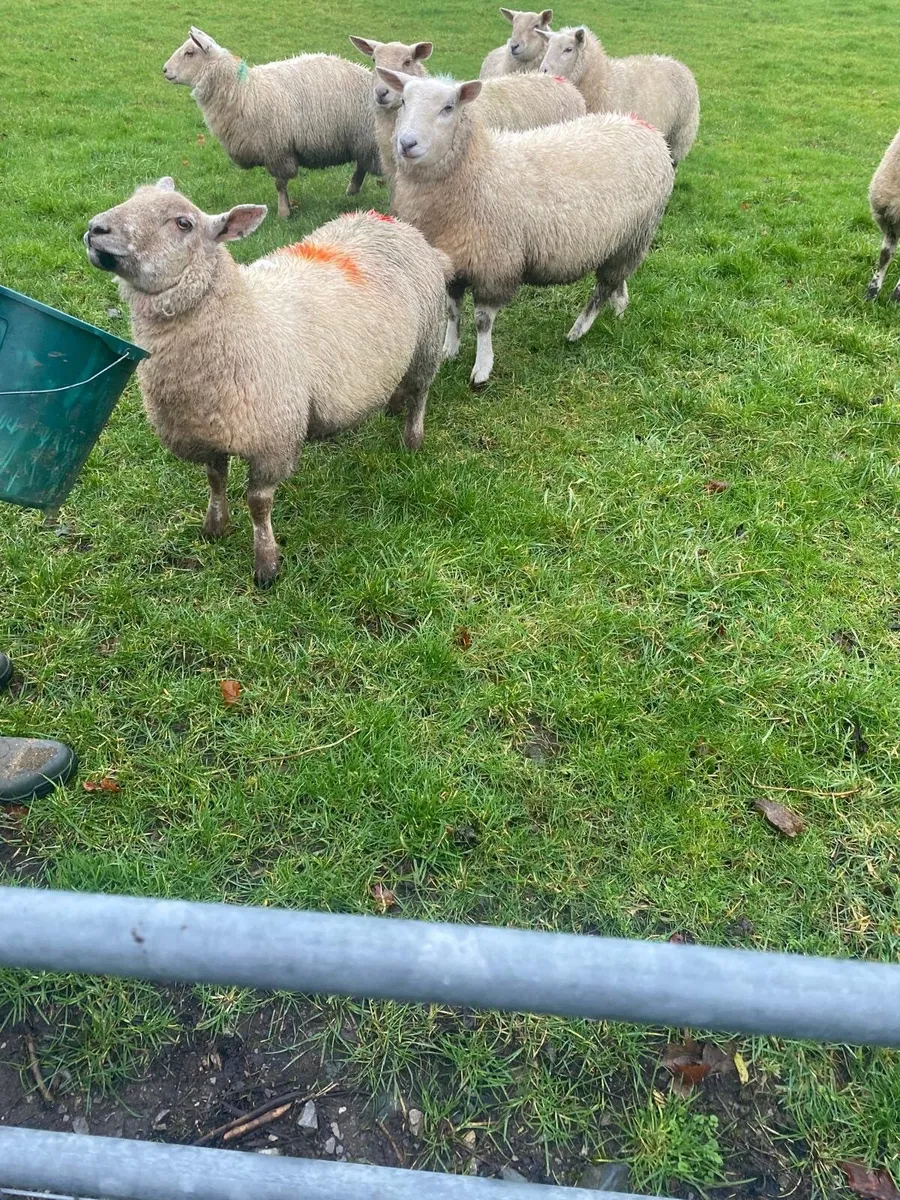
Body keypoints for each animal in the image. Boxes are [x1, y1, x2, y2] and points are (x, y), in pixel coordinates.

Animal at [84, 179, 451, 585]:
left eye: (183, 223)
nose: (96, 229)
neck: (243, 317)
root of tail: (392, 223)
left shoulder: (273, 441)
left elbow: (258, 504)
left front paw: (267, 564)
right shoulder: (208, 432)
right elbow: (215, 480)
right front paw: (215, 528)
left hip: (428, 340)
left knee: (421, 393)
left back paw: (412, 439)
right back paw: (393, 405)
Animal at [162, 28, 380, 218]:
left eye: (189, 53)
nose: (164, 70)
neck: (241, 90)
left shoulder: (278, 149)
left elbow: (280, 184)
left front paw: (283, 213)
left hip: (367, 138)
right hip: (361, 140)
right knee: (362, 165)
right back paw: (352, 190)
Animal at [377, 71, 673, 388]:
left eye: (448, 108)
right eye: (403, 101)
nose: (407, 143)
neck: (477, 169)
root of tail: (645, 128)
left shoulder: (495, 263)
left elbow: (483, 321)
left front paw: (482, 368)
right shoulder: (454, 258)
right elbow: (453, 310)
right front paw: (449, 350)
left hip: (638, 232)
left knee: (602, 288)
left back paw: (578, 330)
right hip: (623, 240)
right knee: (617, 278)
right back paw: (620, 306)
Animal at [536, 26, 700, 164]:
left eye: (568, 49)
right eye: (548, 47)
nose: (543, 70)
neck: (605, 82)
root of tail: (675, 61)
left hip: (680, 134)